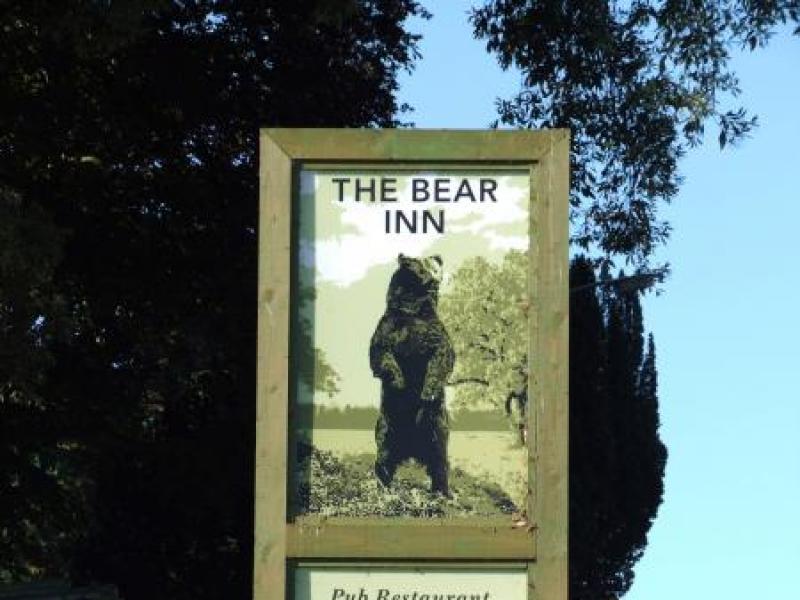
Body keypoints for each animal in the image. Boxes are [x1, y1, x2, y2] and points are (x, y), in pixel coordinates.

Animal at [369, 253, 455, 496]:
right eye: (422, 260)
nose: (438, 256)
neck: (414, 310)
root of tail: (412, 449)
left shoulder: (435, 334)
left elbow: (441, 359)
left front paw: (427, 392)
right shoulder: (388, 328)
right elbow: (382, 355)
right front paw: (399, 382)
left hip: (435, 427)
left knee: (440, 460)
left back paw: (443, 493)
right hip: (388, 427)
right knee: (384, 457)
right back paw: (383, 488)